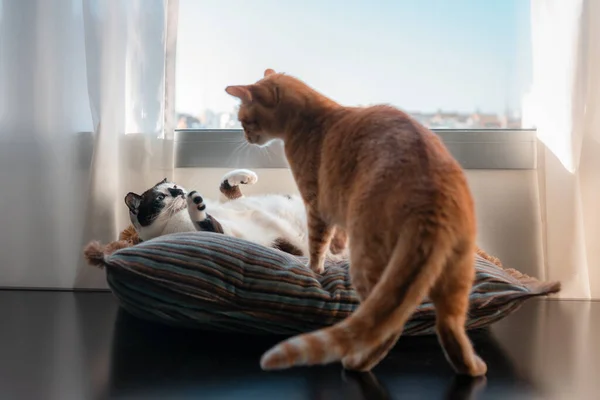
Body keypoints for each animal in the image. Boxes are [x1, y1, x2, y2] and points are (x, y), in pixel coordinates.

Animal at [123, 169, 346, 260]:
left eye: (175, 186)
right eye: (160, 198)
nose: (180, 192)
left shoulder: (231, 201)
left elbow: (225, 185)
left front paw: (247, 176)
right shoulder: (226, 234)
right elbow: (207, 222)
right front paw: (196, 204)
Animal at [225, 67, 488, 376]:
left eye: (244, 120)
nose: (246, 136)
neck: (310, 119)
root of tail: (432, 201)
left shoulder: (316, 203)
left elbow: (317, 245)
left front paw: (314, 267)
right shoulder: (339, 204)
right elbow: (337, 234)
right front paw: (338, 247)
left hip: (368, 267)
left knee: (387, 329)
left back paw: (356, 363)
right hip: (458, 283)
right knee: (449, 328)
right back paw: (472, 367)